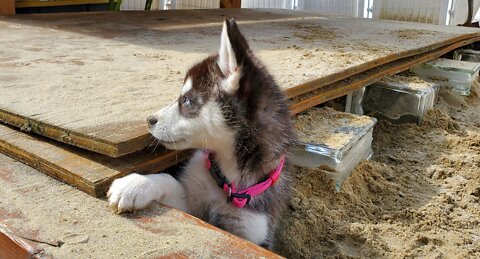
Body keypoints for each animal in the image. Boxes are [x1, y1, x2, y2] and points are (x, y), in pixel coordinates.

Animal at [108, 18, 294, 250]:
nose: (149, 120)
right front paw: (133, 184)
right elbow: (167, 179)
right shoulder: (191, 206)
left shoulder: (253, 232)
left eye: (186, 100)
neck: (227, 183)